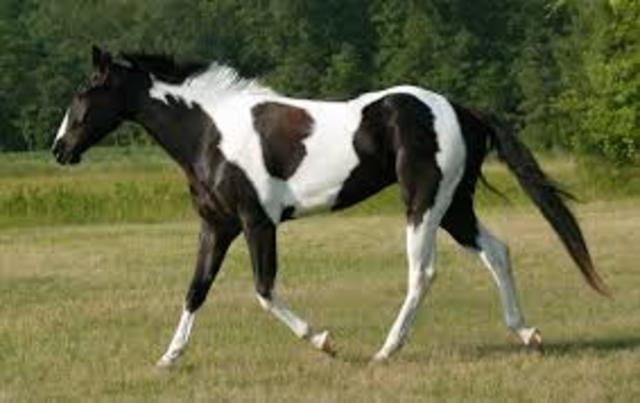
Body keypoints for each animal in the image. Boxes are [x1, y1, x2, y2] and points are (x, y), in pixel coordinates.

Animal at [52, 46, 608, 367]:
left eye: (85, 93)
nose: (60, 149)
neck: (212, 133)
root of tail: (459, 109)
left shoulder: (258, 223)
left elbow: (263, 290)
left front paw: (324, 341)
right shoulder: (217, 227)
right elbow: (195, 290)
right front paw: (169, 357)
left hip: (424, 203)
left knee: (423, 272)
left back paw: (386, 350)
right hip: (455, 207)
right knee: (497, 251)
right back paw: (528, 334)